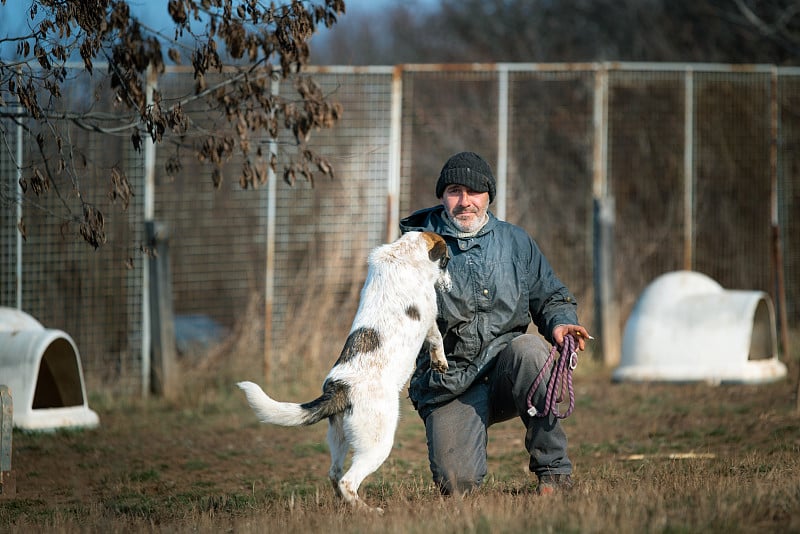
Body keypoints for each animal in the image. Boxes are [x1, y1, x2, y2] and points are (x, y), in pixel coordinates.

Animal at [236, 231, 450, 516]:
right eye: (447, 260)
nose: (449, 286)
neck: (402, 254)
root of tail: (340, 388)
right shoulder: (430, 316)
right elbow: (437, 339)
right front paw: (441, 362)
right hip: (377, 443)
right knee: (348, 481)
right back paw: (368, 511)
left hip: (338, 438)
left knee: (334, 474)